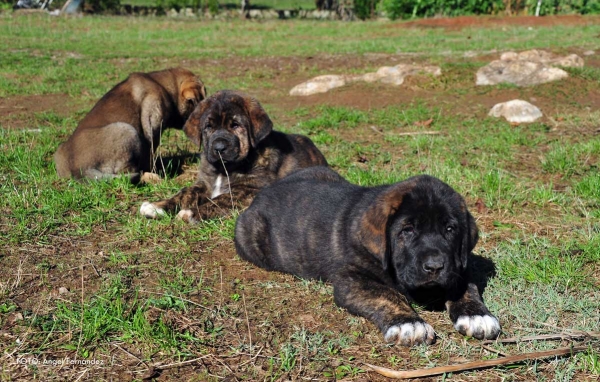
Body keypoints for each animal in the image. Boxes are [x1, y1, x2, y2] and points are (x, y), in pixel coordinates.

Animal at [139, 90, 328, 222]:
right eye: (208, 127)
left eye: (236, 125)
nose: (219, 147)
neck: (223, 170)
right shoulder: (204, 183)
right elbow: (185, 192)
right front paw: (157, 206)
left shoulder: (250, 191)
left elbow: (220, 199)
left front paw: (191, 213)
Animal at [234, 167, 502, 346]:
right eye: (407, 230)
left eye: (450, 229)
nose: (435, 266)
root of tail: (263, 193)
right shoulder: (352, 280)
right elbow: (387, 295)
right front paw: (409, 323)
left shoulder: (458, 266)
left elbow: (465, 287)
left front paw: (477, 316)